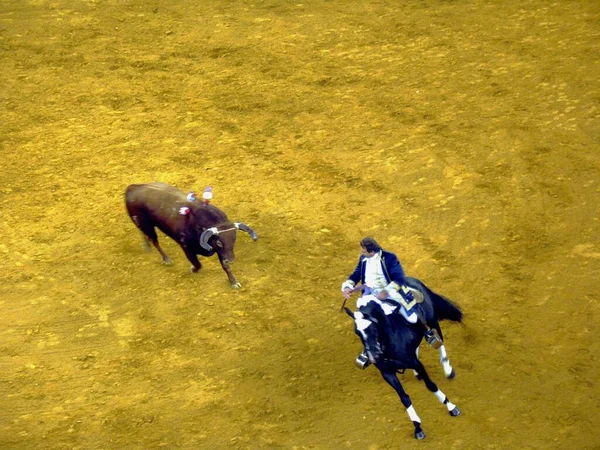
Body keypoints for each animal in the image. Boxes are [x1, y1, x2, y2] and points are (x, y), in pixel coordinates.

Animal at [124, 182, 258, 288]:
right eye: (219, 242)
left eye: (234, 239)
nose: (231, 260)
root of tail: (132, 188)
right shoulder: (186, 247)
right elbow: (197, 264)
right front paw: (192, 269)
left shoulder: (221, 252)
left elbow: (225, 267)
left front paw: (234, 282)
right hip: (146, 224)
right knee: (154, 240)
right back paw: (166, 259)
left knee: (144, 234)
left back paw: (146, 246)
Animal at [342, 278, 464, 440]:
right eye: (357, 332)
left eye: (373, 327)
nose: (374, 356)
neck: (391, 344)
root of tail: (412, 279)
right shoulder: (387, 373)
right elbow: (404, 398)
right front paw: (417, 427)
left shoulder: (416, 363)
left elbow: (431, 385)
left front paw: (451, 407)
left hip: (432, 320)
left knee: (439, 341)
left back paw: (448, 369)